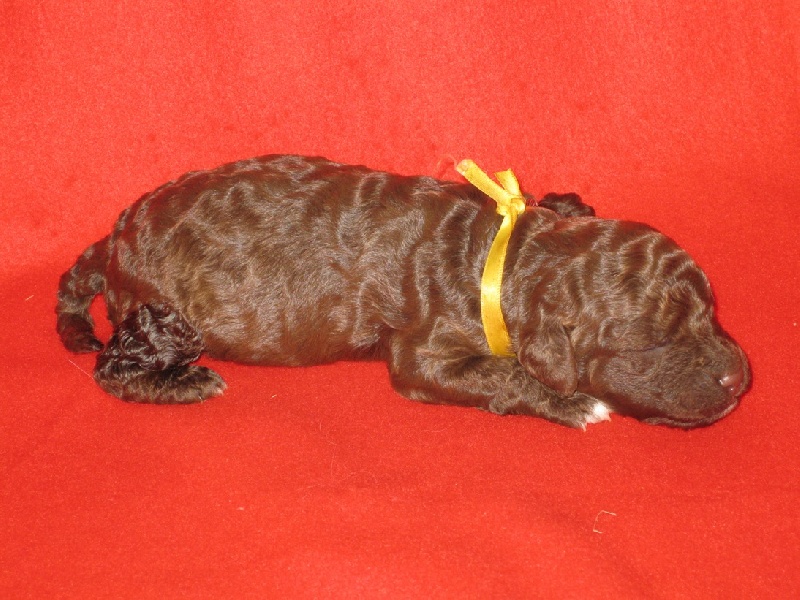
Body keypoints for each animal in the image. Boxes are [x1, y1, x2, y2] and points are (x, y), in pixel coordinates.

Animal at [56, 154, 750, 428]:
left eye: (712, 311)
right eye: (652, 343)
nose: (741, 380)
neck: (505, 254)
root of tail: (114, 236)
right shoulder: (422, 352)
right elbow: (504, 374)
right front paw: (576, 403)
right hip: (167, 318)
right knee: (111, 367)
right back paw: (187, 384)